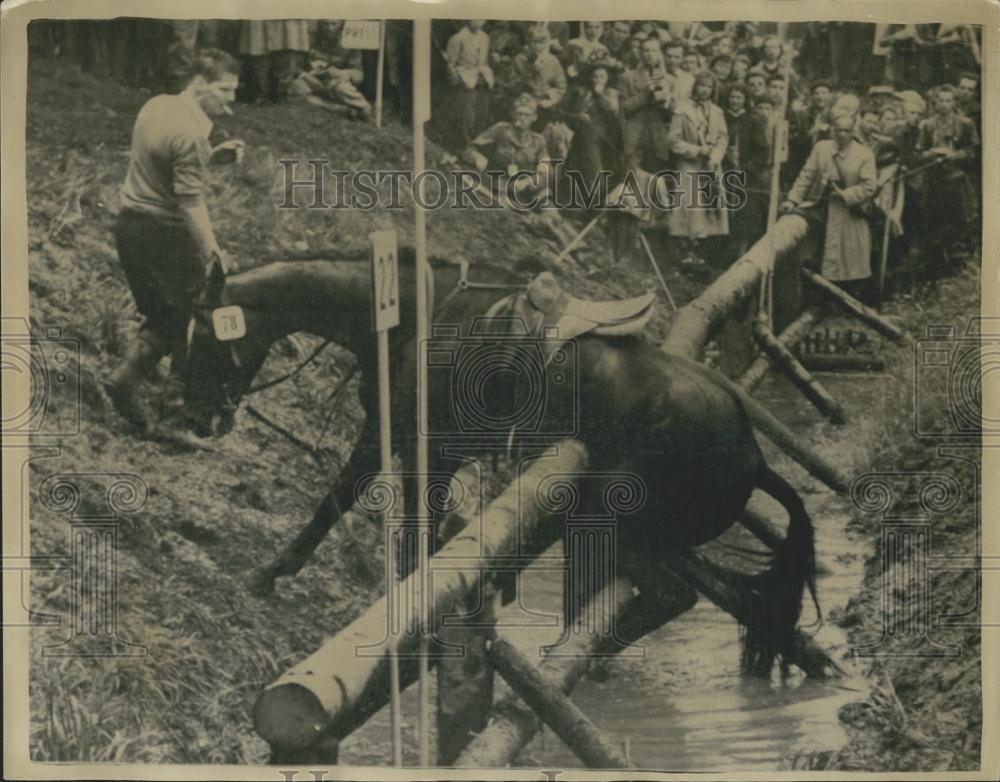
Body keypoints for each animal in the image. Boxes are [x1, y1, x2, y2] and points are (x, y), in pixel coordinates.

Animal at [184, 253, 816, 680]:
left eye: (202, 340)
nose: (193, 417)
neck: (411, 318)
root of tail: (754, 455)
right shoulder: (429, 452)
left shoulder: (406, 444)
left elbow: (355, 510)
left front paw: (275, 572)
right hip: (657, 536)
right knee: (730, 598)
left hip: (614, 520)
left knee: (672, 595)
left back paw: (573, 662)